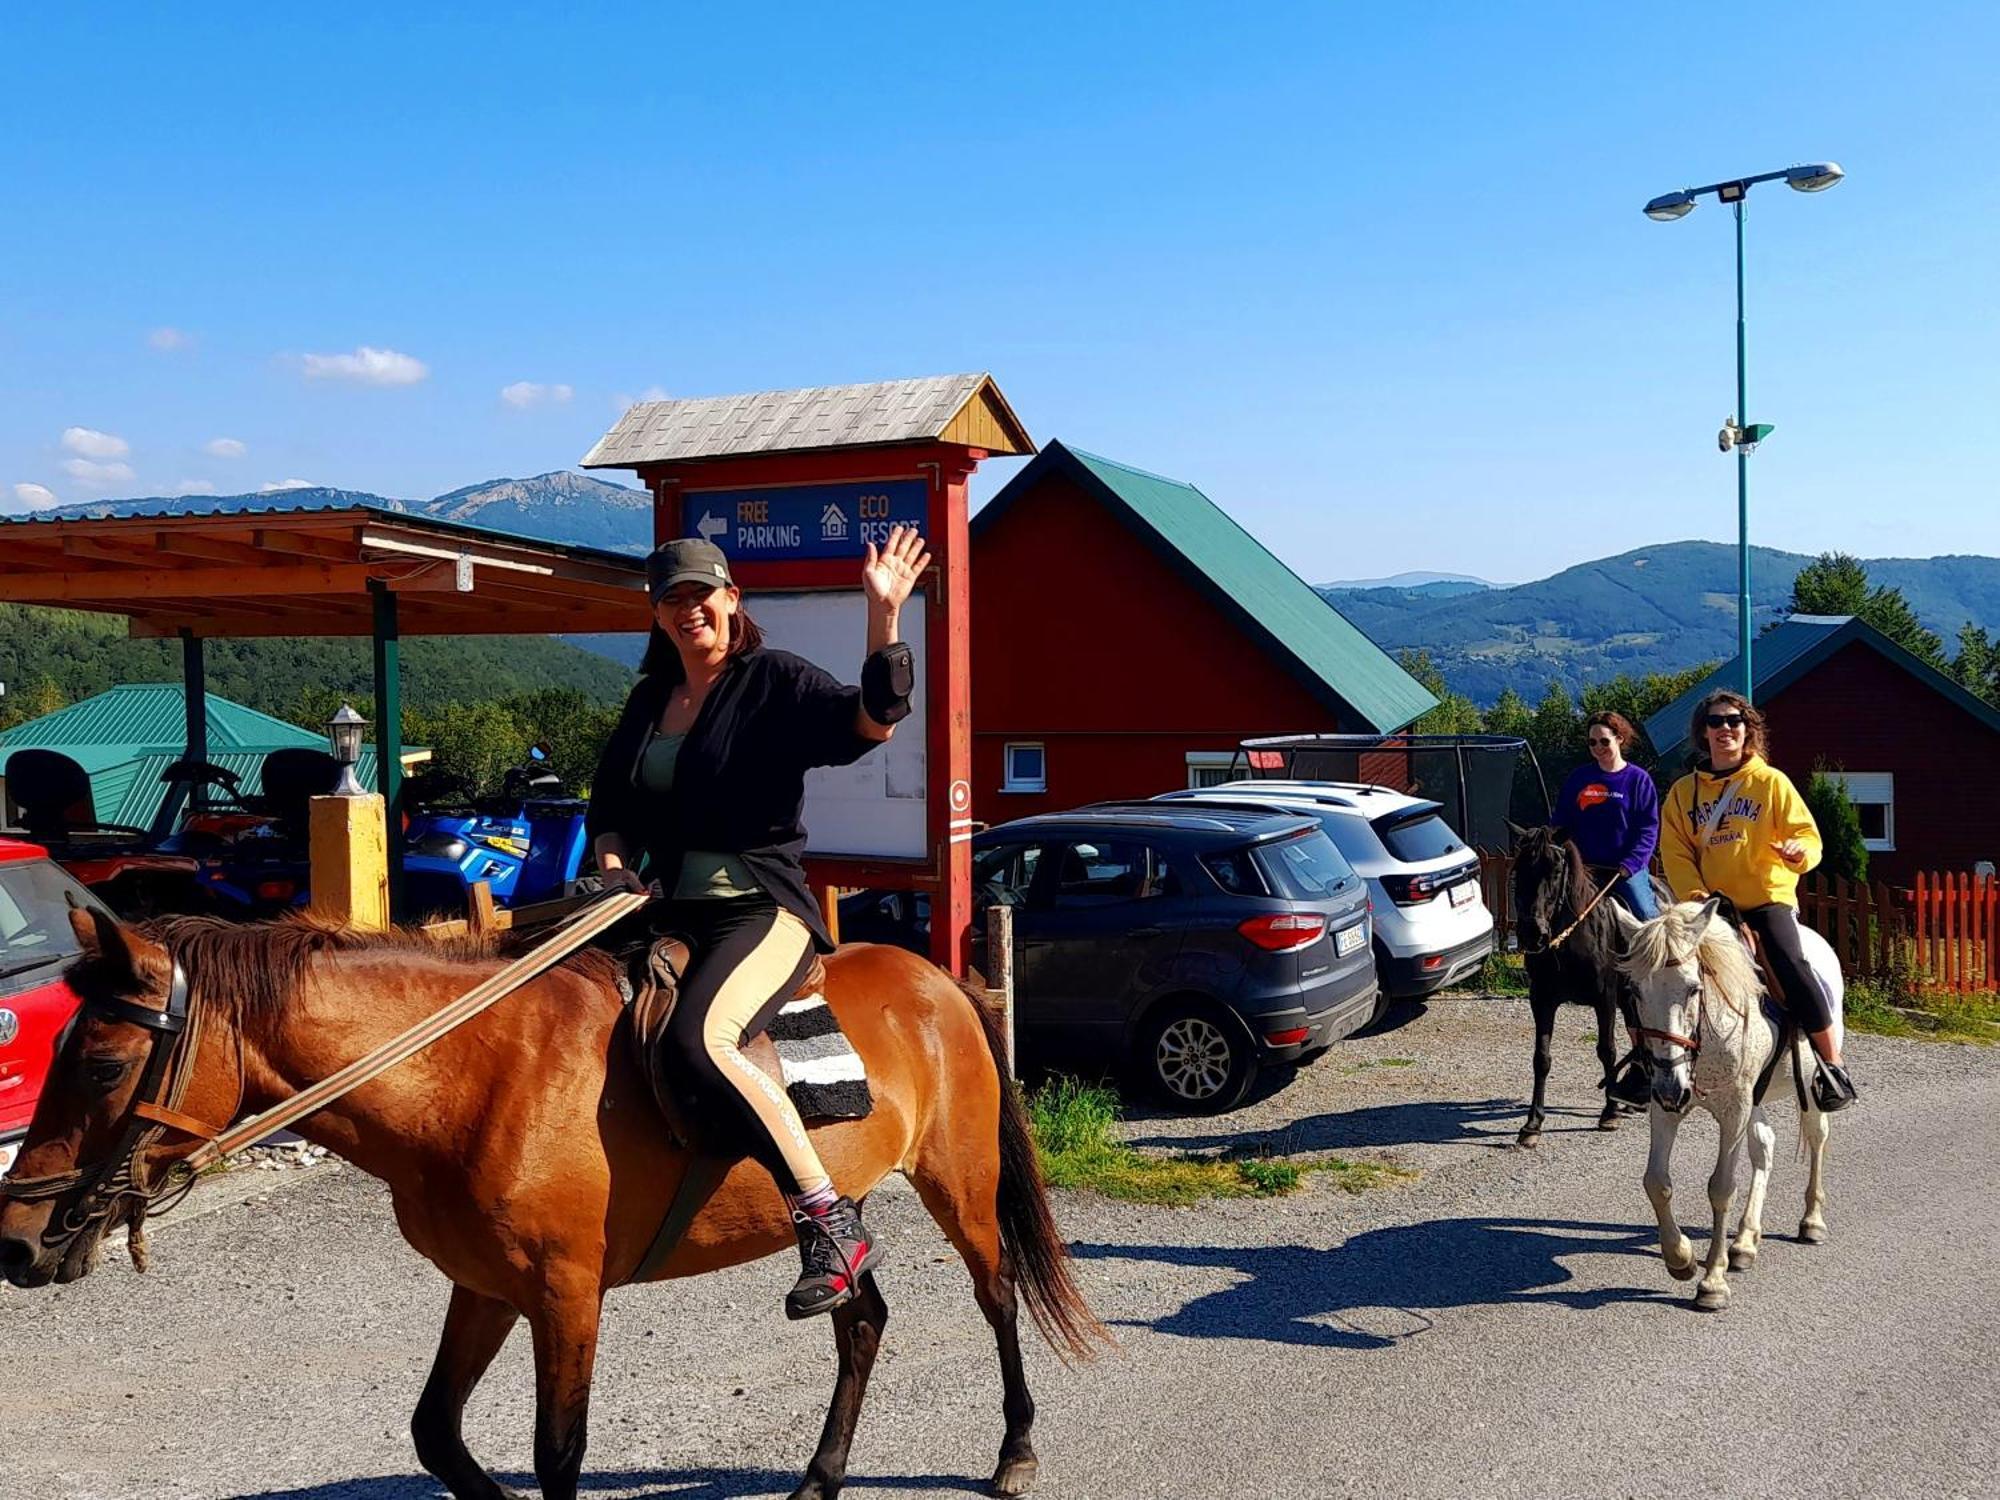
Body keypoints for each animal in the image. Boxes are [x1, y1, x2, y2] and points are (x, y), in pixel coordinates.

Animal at [0, 904, 1096, 1500]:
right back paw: (821, 1474)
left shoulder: (567, 1297)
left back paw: (1016, 1452)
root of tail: (940, 981)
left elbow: (558, 1452)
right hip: (843, 1217)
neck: (473, 1075)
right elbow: (436, 1435)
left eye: (101, 1064)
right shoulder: (486, 1289)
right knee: (858, 1315)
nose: (15, 1240)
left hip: (961, 1188)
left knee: (997, 1298)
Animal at [1616, 900, 1832, 1312]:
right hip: (1753, 1100)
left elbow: (1721, 1188)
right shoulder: (1666, 1105)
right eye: (1634, 990)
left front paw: (1712, 1282)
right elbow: (1656, 1181)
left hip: (1809, 1090)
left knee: (1816, 1137)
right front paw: (1680, 1258)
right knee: (1764, 1147)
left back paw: (1812, 1220)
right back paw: (1745, 1242)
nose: (1671, 1084)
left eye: (1693, 988)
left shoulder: (1734, 1110)